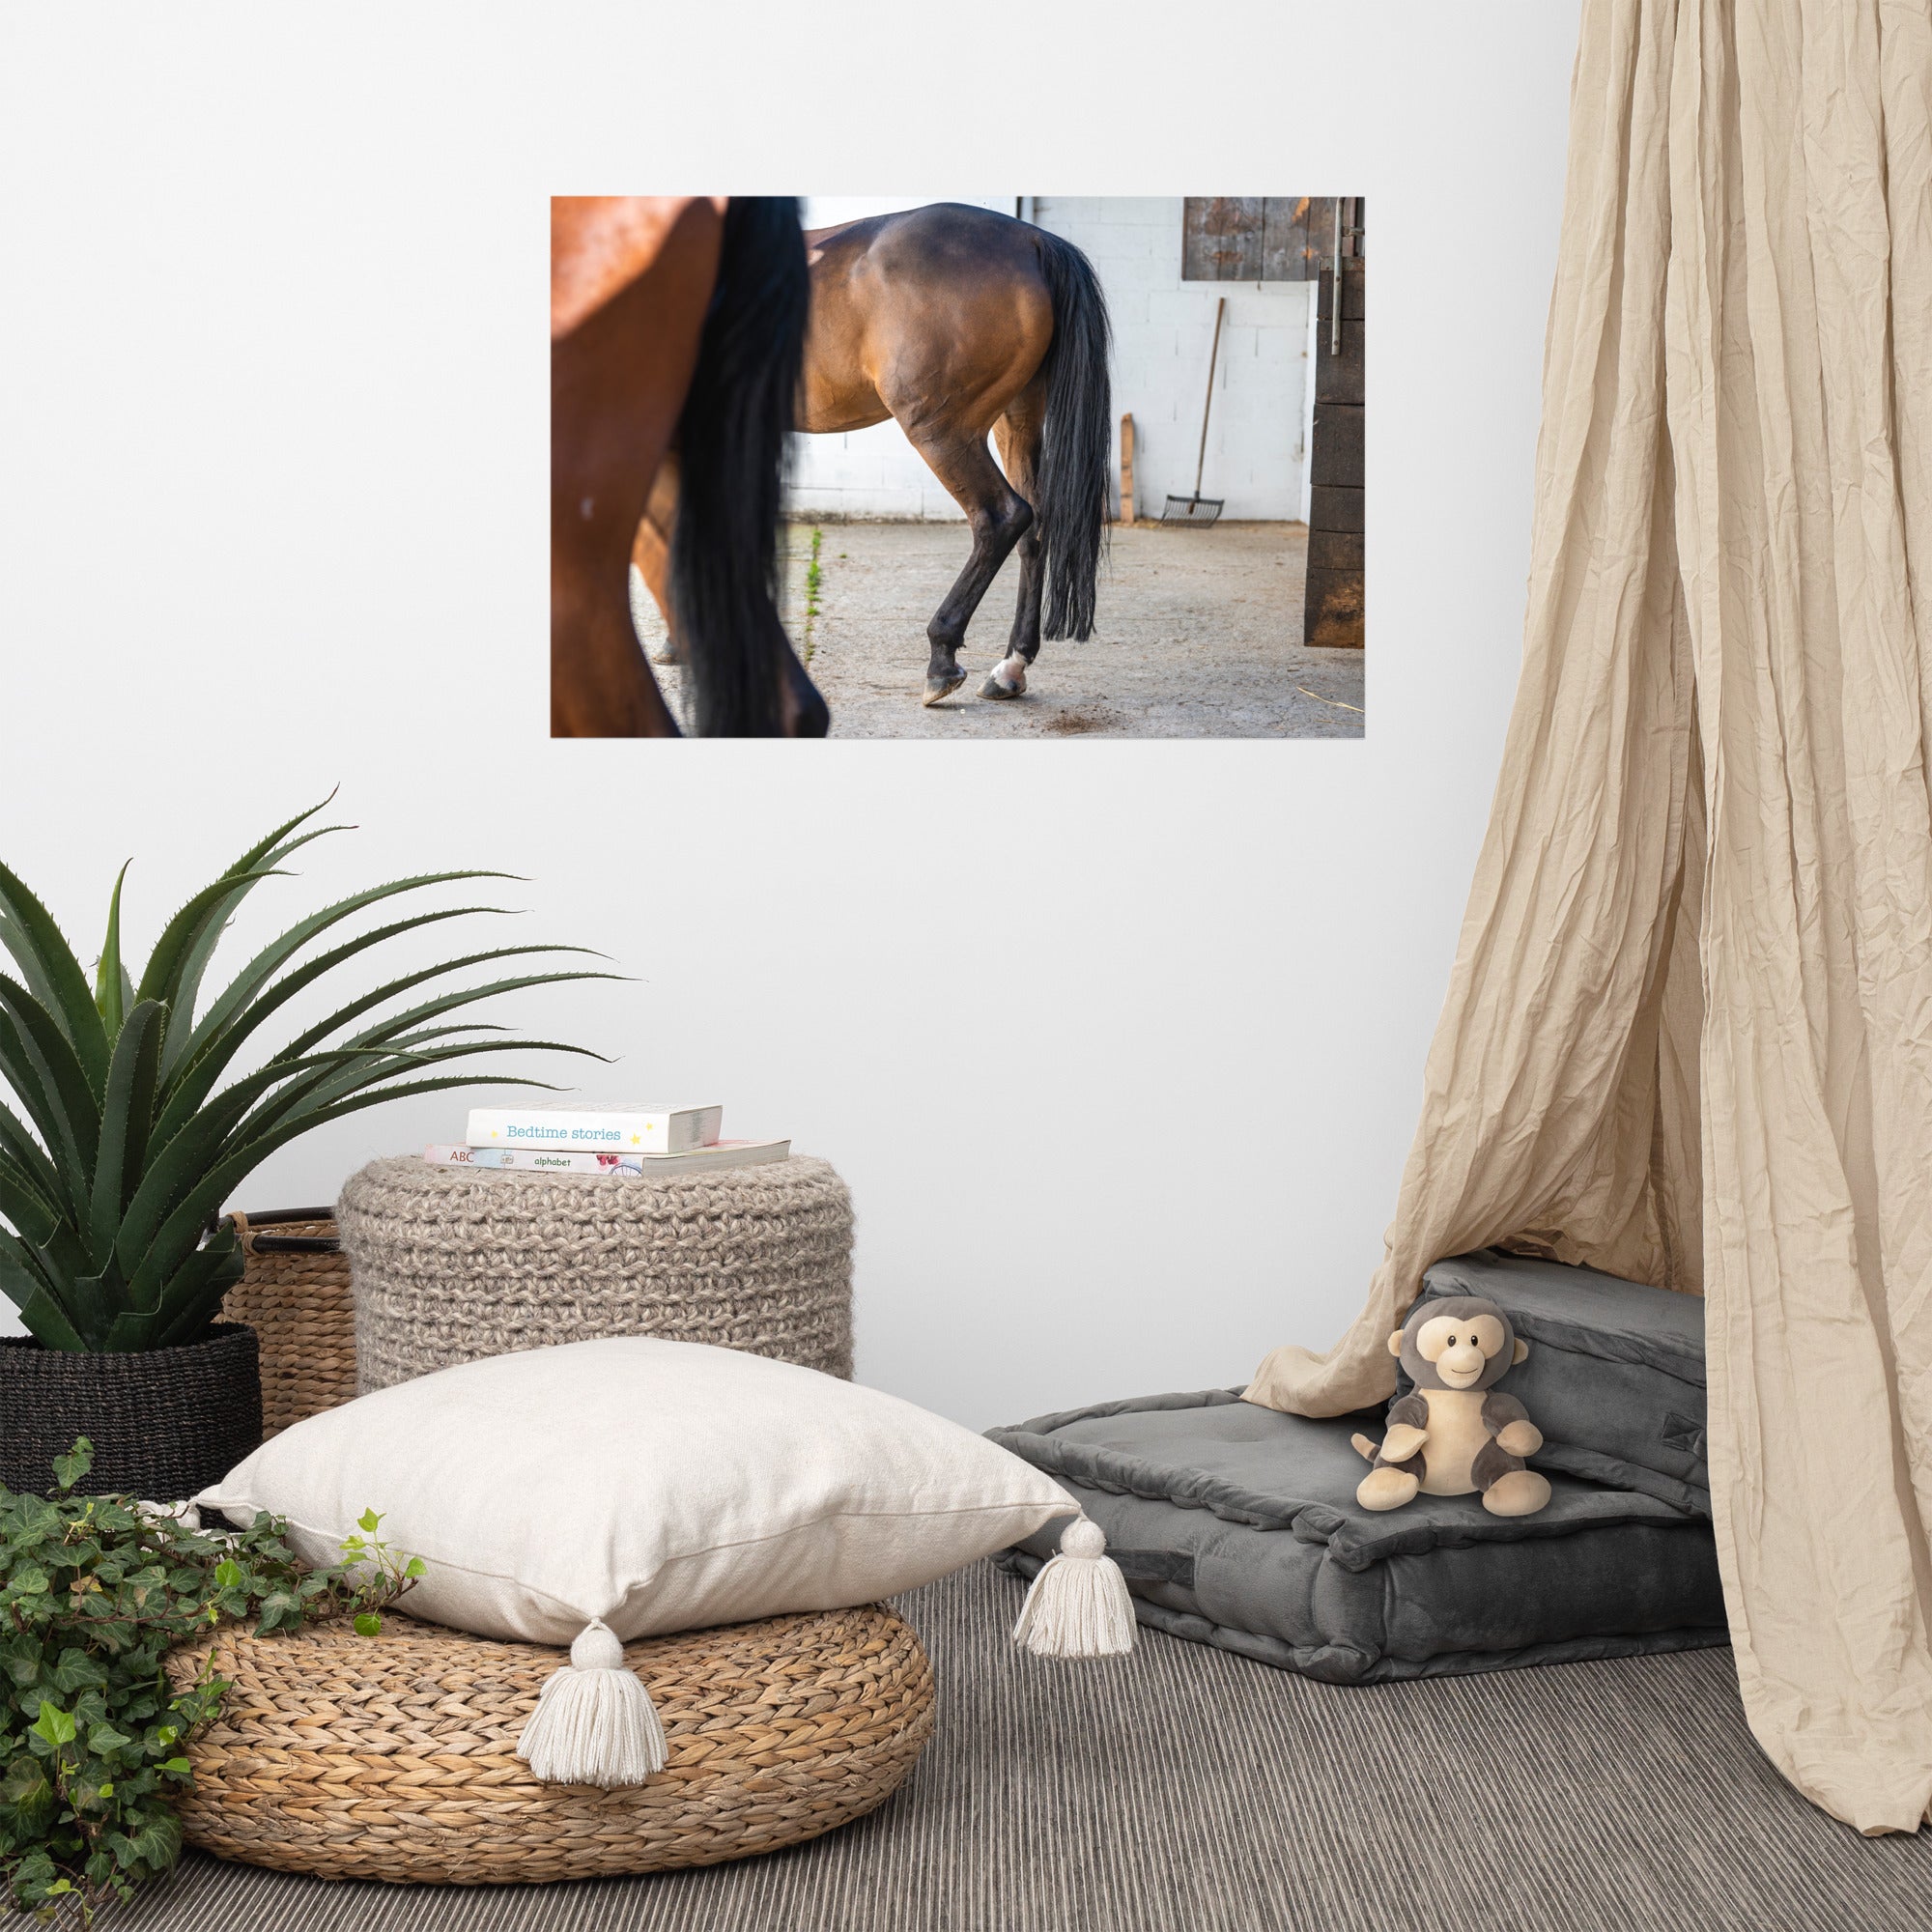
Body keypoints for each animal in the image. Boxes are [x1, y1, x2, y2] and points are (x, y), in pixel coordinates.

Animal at [641, 202, 1113, 711]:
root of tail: (1031, 240)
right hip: (1017, 420)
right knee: (1036, 529)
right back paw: (1010, 669)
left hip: (942, 431)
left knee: (1001, 518)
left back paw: (942, 658)